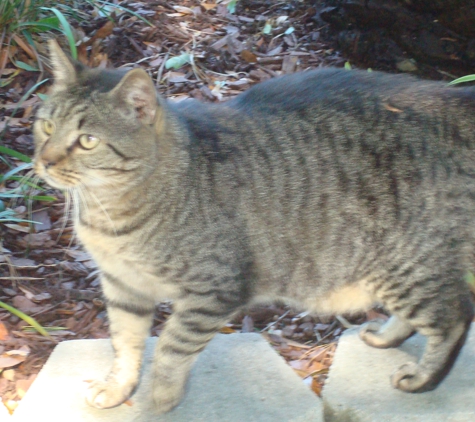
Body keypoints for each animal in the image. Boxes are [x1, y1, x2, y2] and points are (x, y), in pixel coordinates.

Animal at [32, 41, 472, 414]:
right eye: (46, 126)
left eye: (87, 141)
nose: (44, 161)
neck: (109, 209)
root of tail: (453, 100)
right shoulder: (123, 285)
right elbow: (124, 343)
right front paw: (118, 387)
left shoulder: (214, 290)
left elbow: (173, 347)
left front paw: (159, 399)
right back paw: (386, 337)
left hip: (407, 265)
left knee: (455, 315)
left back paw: (422, 378)